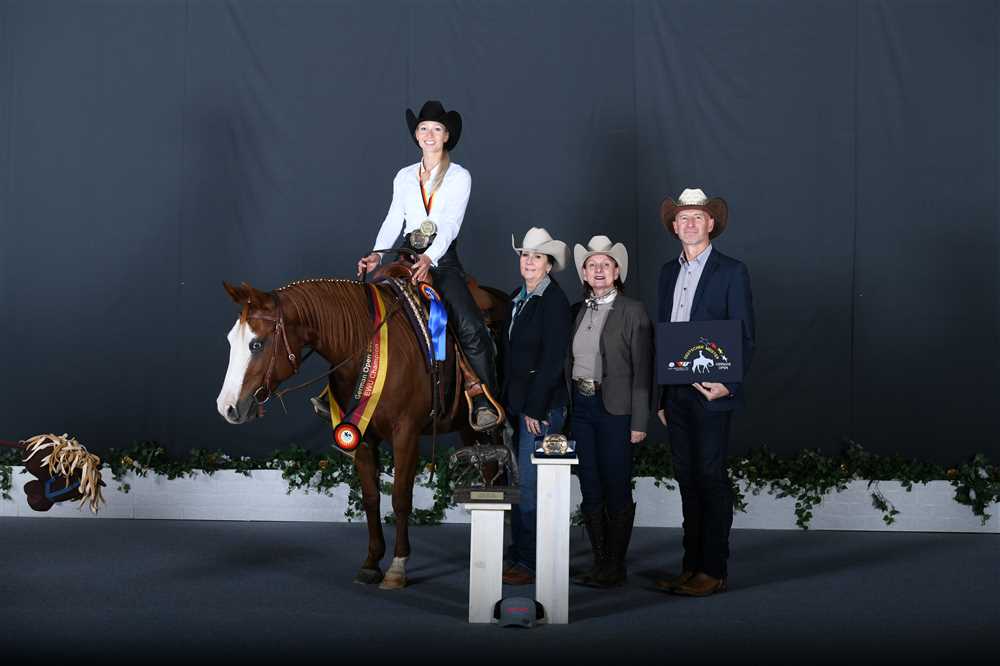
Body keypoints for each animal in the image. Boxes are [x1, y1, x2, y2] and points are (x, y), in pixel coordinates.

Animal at [215, 276, 508, 590]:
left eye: (257, 344)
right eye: (231, 340)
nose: (227, 407)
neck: (364, 346)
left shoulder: (406, 435)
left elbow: (400, 498)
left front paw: (397, 567)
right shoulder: (361, 436)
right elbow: (371, 498)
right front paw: (371, 563)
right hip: (470, 430)